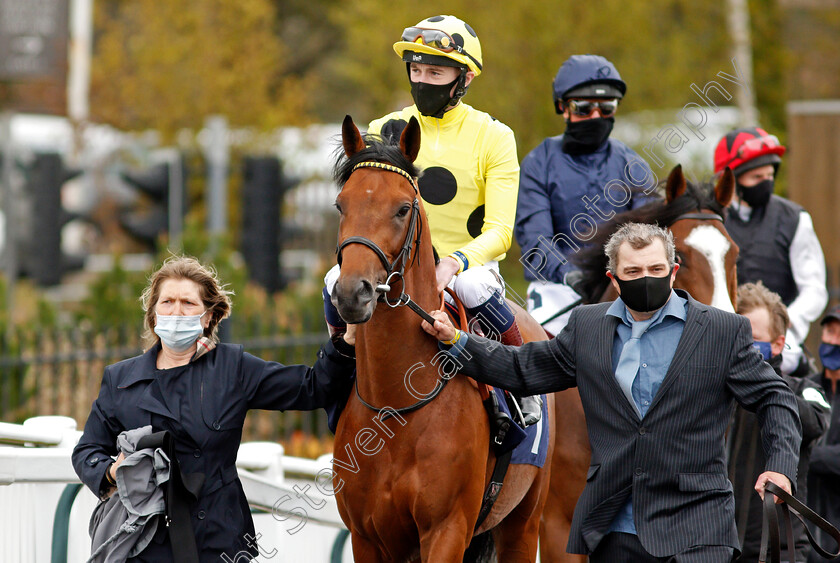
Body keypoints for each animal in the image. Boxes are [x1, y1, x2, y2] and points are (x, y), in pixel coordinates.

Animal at [332, 115, 556, 563]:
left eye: (403, 208)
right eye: (341, 205)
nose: (352, 293)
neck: (395, 408)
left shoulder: (446, 529)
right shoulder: (367, 538)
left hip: (523, 521)